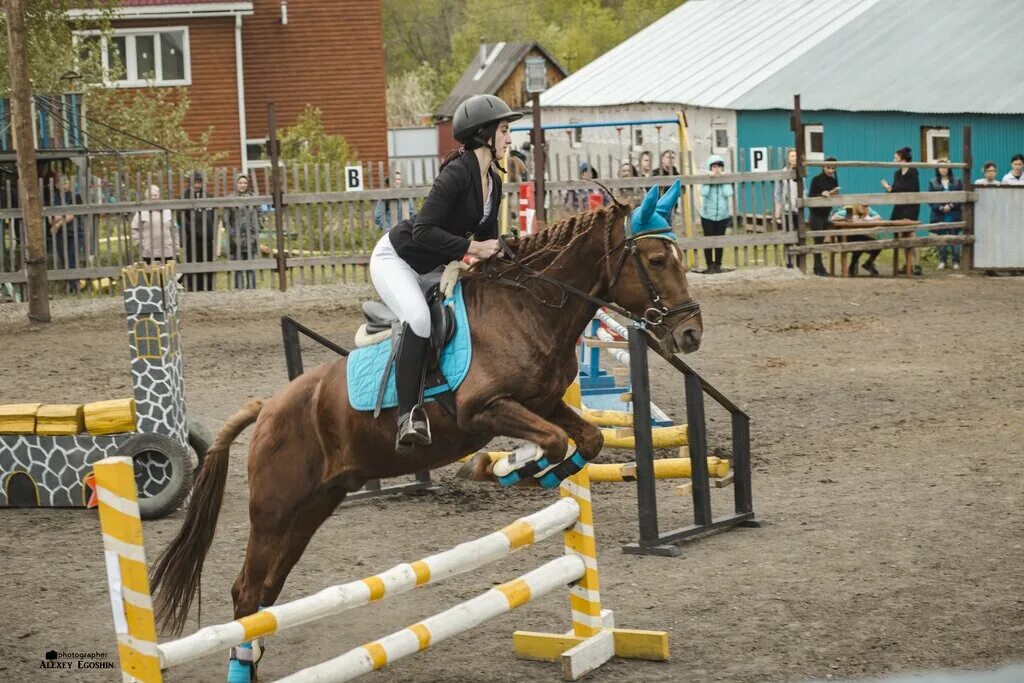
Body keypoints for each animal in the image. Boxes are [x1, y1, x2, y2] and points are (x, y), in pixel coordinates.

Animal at [149, 191, 704, 655]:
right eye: (656, 260)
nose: (691, 333)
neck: (529, 306)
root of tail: (266, 408)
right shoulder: (484, 408)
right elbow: (550, 440)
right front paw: (504, 467)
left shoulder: (544, 402)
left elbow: (586, 439)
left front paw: (529, 470)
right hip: (274, 511)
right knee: (246, 591)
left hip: (312, 507)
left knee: (264, 589)